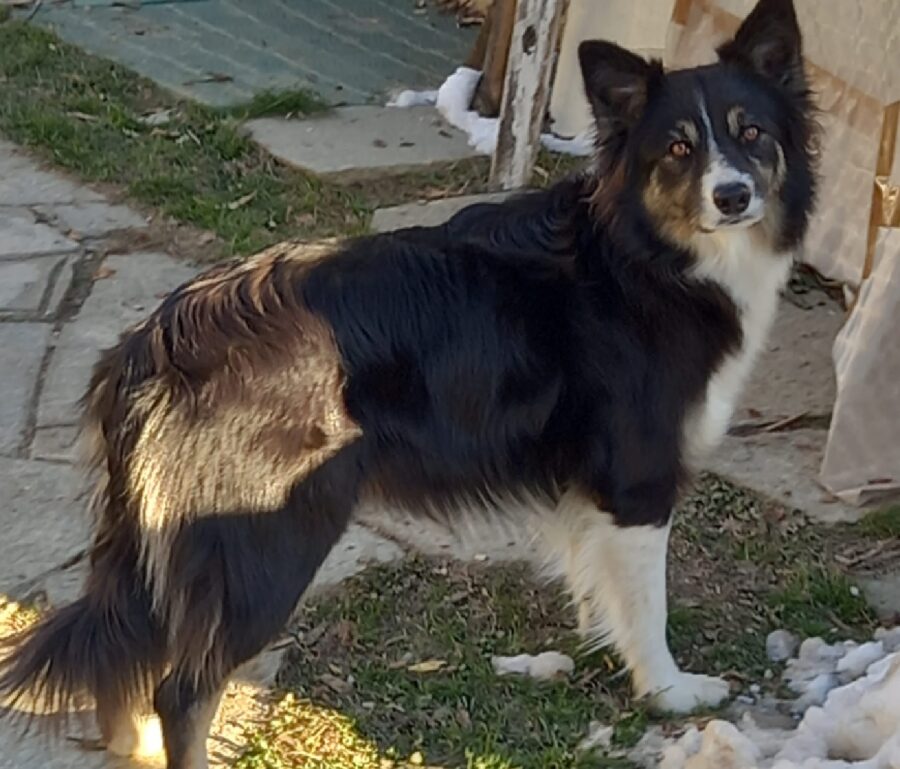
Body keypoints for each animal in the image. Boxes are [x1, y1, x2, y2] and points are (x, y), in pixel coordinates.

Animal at [0, 1, 816, 768]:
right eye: (678, 148)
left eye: (752, 133)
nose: (734, 196)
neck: (647, 254)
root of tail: (157, 342)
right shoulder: (639, 478)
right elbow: (647, 605)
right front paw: (670, 691)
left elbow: (603, 584)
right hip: (266, 539)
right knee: (182, 685)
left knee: (125, 651)